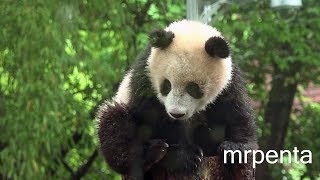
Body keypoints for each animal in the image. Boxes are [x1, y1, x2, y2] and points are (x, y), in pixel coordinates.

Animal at [96, 20, 258, 179]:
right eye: (167, 85)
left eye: (193, 88)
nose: (176, 113)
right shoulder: (145, 77)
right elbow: (149, 118)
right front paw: (183, 157)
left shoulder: (229, 82)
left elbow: (236, 113)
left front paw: (234, 150)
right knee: (114, 124)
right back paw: (154, 151)